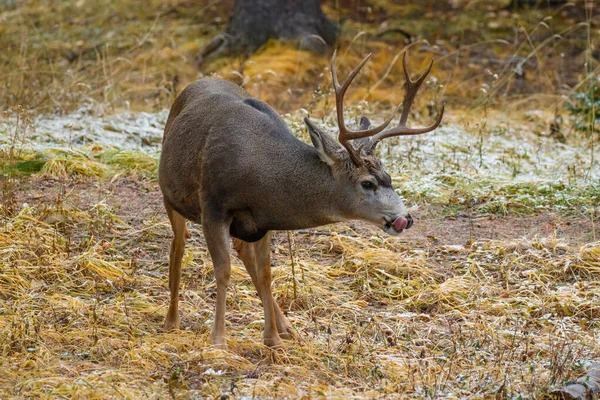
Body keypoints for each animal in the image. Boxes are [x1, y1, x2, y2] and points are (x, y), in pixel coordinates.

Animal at [157, 52, 442, 346]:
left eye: (390, 177)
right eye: (367, 183)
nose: (404, 219)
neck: (258, 171)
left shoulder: (262, 220)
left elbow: (266, 273)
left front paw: (273, 339)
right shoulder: (214, 205)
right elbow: (223, 270)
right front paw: (218, 340)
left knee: (240, 251)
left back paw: (286, 327)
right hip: (171, 194)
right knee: (178, 246)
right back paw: (171, 321)